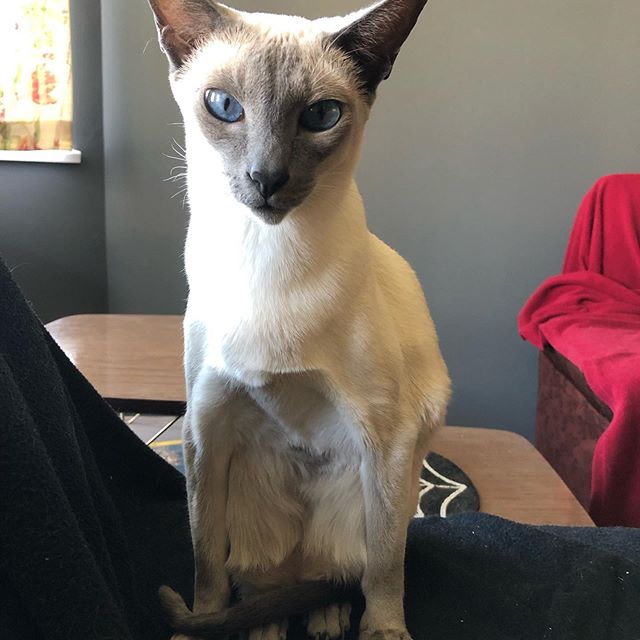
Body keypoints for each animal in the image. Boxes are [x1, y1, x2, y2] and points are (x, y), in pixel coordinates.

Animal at [149, 1, 450, 640]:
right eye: (224, 105)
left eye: (320, 116)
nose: (266, 179)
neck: (267, 258)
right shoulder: (205, 430)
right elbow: (205, 566)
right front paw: (201, 624)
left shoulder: (386, 435)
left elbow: (384, 572)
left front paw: (384, 632)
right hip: (247, 499)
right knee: (266, 581)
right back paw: (261, 626)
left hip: (371, 487)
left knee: (334, 574)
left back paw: (326, 619)